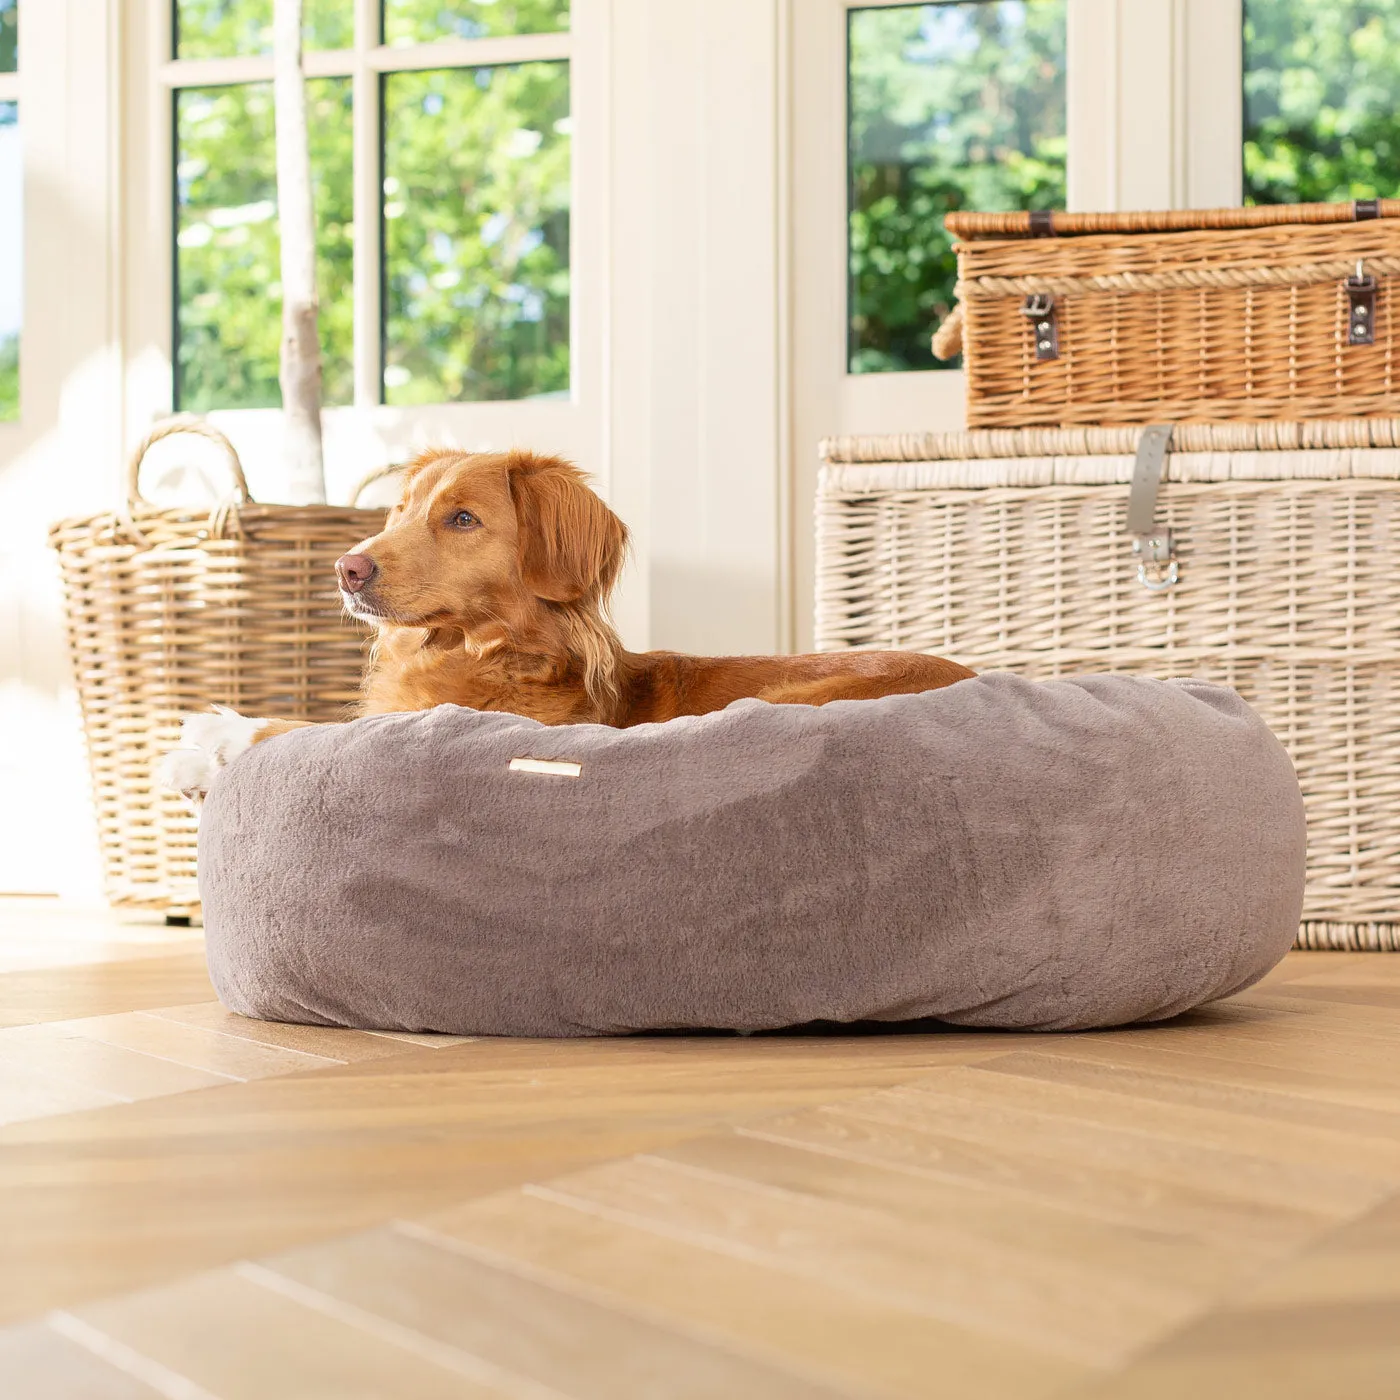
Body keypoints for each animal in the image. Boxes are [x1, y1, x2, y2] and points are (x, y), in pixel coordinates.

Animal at [161, 448, 974, 800]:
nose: (347, 568)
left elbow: (319, 731)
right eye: (399, 511)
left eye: (462, 519)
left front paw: (213, 738)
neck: (484, 649)